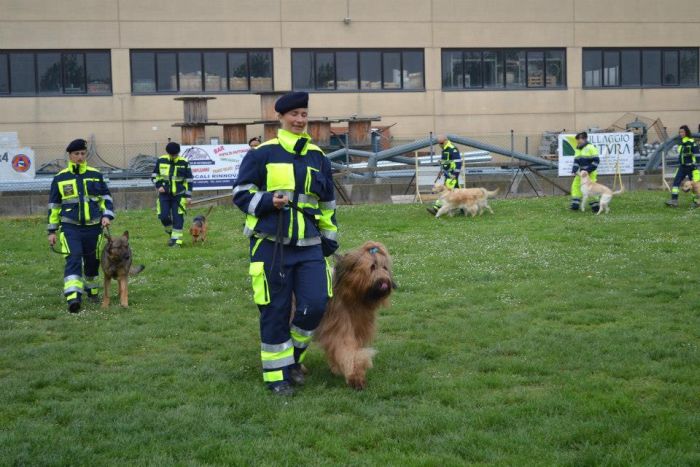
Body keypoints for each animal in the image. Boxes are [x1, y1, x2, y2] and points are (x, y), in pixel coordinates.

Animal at [316, 241, 396, 392]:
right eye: (372, 267)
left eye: (385, 267)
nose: (384, 281)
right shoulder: (339, 326)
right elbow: (347, 350)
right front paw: (355, 377)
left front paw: (337, 369)